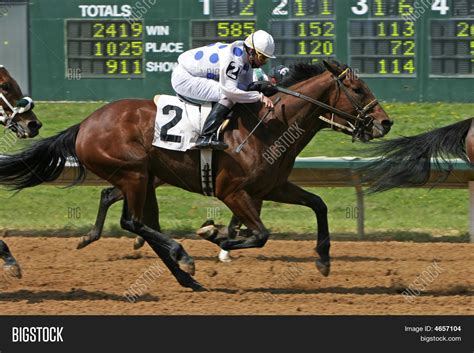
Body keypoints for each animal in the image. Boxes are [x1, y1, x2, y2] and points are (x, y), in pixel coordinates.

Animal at [0, 59, 394, 288]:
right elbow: (260, 234)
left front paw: (324, 260)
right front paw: (215, 235)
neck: (269, 125)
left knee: (140, 221)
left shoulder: (273, 186)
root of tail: (84, 124)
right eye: (357, 89)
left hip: (145, 179)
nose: (385, 123)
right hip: (134, 174)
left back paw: (185, 277)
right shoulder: (232, 191)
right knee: (133, 222)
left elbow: (318, 204)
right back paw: (183, 256)